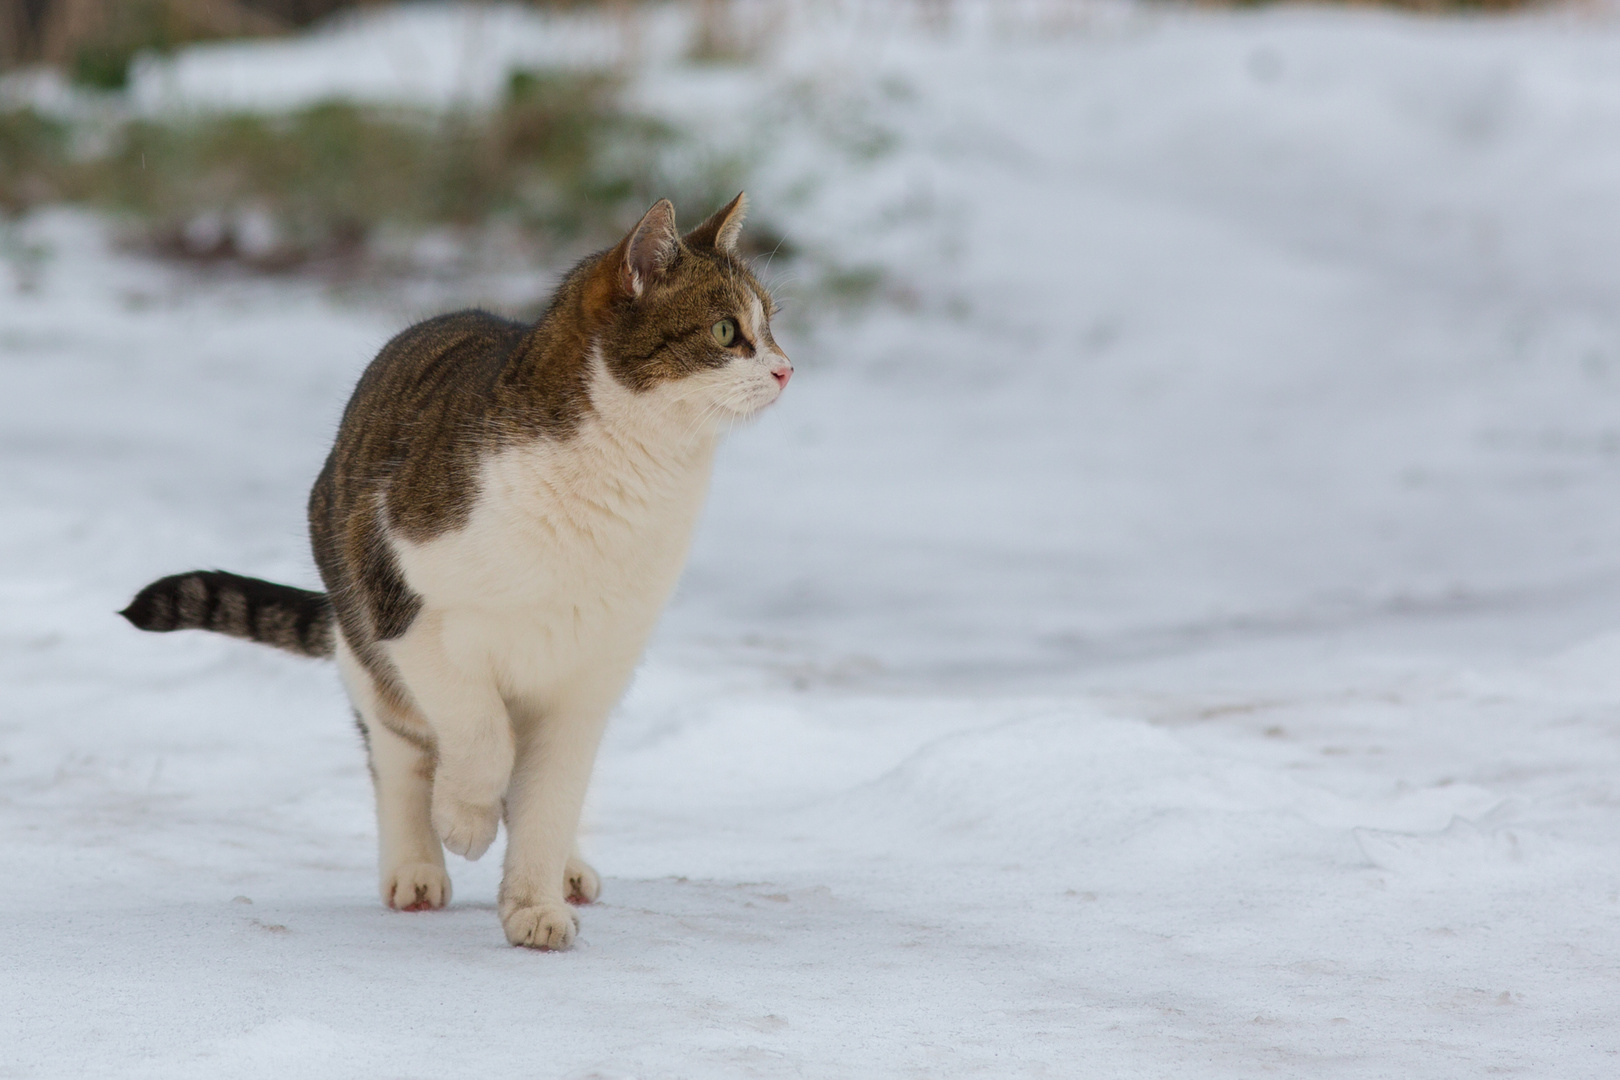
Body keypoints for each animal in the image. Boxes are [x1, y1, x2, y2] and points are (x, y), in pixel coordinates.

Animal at [119, 196, 790, 952]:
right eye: (728, 331)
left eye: (771, 325)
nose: (786, 369)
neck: (626, 481)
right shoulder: (403, 601)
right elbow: (479, 730)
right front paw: (465, 818)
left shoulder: (591, 672)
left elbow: (549, 796)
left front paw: (533, 903)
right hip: (362, 638)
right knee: (398, 751)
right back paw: (416, 863)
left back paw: (564, 866)